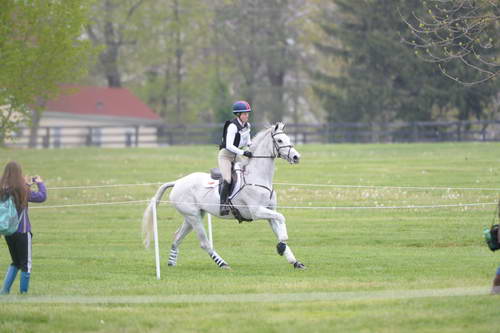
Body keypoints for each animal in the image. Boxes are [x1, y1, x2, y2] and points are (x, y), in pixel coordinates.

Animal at [141, 122, 304, 270]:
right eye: (280, 140)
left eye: (288, 138)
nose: (296, 157)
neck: (258, 177)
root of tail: (178, 182)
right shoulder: (257, 212)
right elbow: (282, 219)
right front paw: (282, 244)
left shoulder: (269, 212)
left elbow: (278, 225)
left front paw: (294, 260)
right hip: (193, 216)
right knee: (204, 243)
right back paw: (222, 263)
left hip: (193, 216)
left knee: (177, 237)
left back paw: (171, 262)